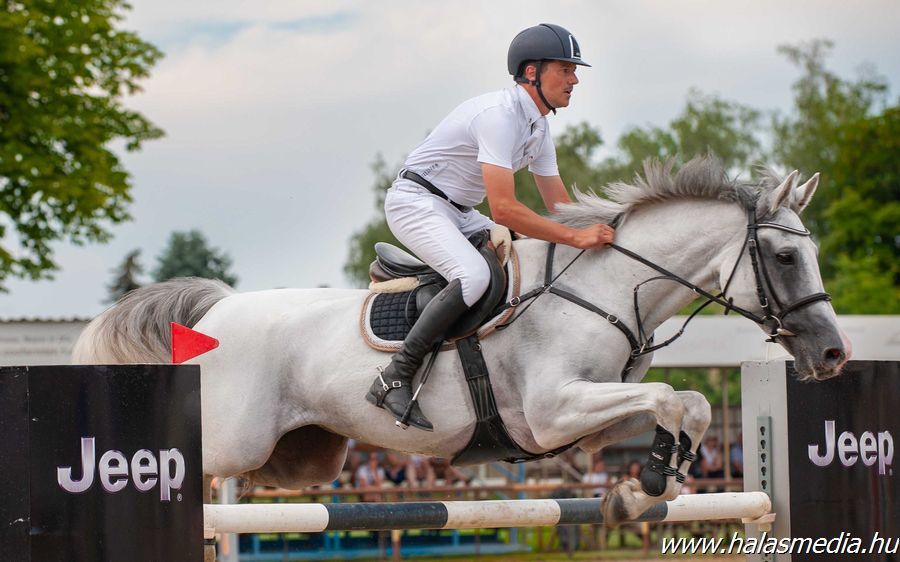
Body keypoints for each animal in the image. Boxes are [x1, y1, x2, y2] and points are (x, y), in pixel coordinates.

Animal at [72, 158, 852, 524]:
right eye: (786, 257)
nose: (833, 354)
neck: (606, 287)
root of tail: (219, 309)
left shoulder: (580, 415)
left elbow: (684, 403)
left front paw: (642, 484)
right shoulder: (552, 411)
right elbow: (668, 394)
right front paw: (652, 481)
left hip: (300, 457)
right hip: (238, 439)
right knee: (199, 469)